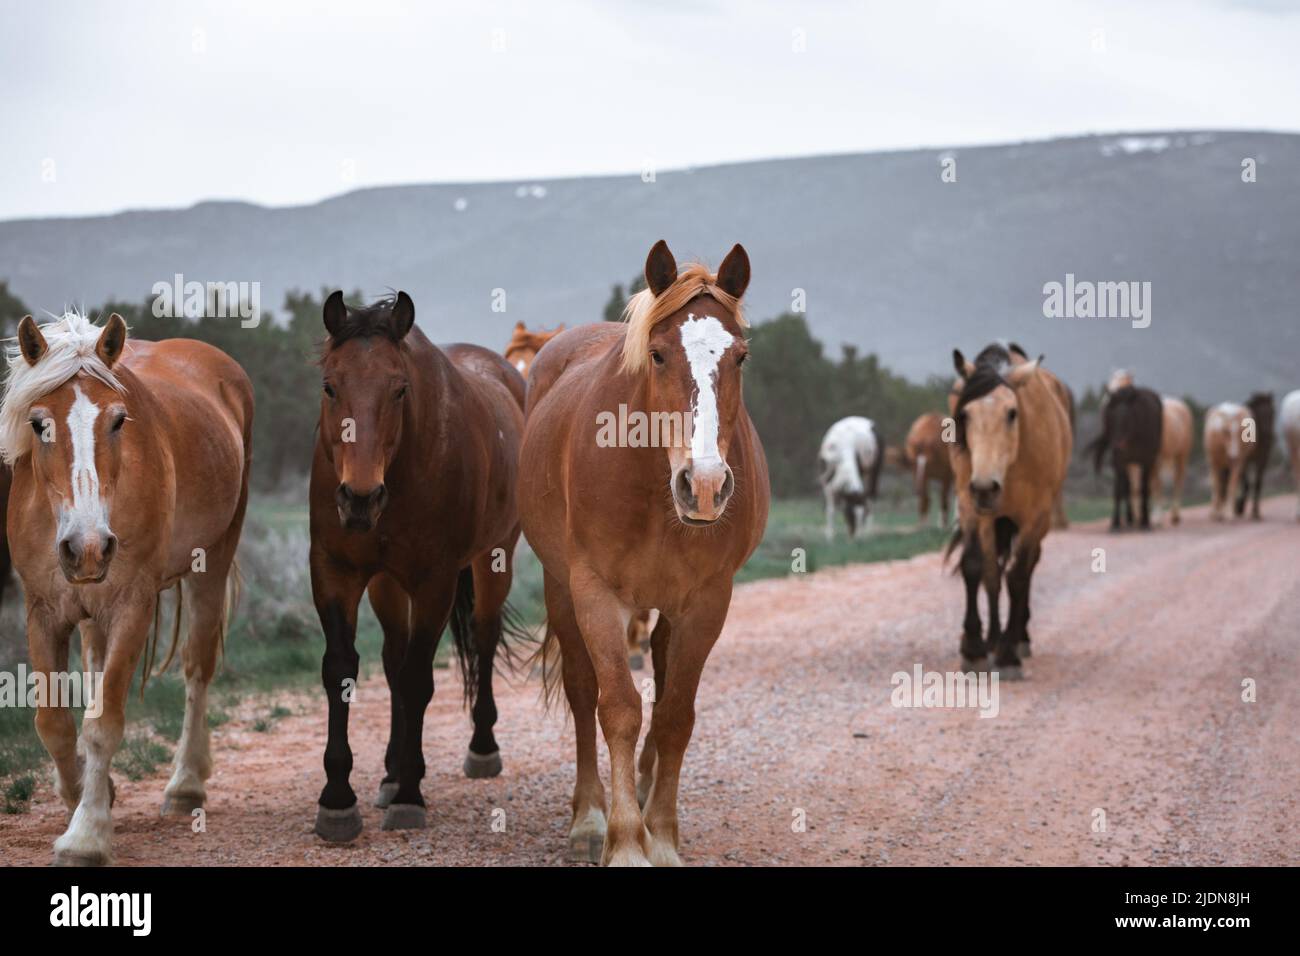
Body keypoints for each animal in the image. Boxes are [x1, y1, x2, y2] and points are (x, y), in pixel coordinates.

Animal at [3, 312, 252, 865]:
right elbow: (54, 722)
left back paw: (185, 785)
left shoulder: (130, 606)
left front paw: (86, 834)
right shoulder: (43, 611)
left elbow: (103, 724)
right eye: (38, 424)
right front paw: (84, 794)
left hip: (212, 560)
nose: (88, 548)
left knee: (197, 668)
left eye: (119, 421)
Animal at [309, 291, 525, 843]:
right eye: (330, 386)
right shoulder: (335, 572)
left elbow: (417, 679)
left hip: (495, 559)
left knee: (483, 637)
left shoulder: (435, 582)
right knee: (392, 657)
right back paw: (388, 772)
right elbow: (342, 671)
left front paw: (409, 793)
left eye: (400, 389)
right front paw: (339, 799)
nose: (359, 499)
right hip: (387, 584)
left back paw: (481, 748)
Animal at [519, 241, 769, 865]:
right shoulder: (594, 593)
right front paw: (625, 839)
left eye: (741, 358)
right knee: (583, 690)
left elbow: (676, 714)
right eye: (657, 355)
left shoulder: (707, 601)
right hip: (560, 588)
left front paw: (663, 834)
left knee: (660, 667)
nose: (703, 485)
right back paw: (589, 814)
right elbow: (617, 707)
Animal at [947, 343, 1071, 678]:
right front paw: (974, 648)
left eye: (1012, 413)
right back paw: (992, 639)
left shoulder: (1034, 515)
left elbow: (1018, 576)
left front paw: (1007, 655)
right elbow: (976, 567)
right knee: (992, 573)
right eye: (965, 414)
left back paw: (1017, 639)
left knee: (1027, 569)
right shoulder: (970, 504)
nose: (985, 487)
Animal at [1087, 385, 1164, 531]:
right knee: (1126, 487)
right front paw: (1115, 523)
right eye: (1110, 416)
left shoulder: (1147, 460)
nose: (1117, 444)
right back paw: (1129, 519)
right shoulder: (1119, 460)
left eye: (1128, 417)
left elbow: (1144, 489)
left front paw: (1145, 522)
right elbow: (1118, 490)